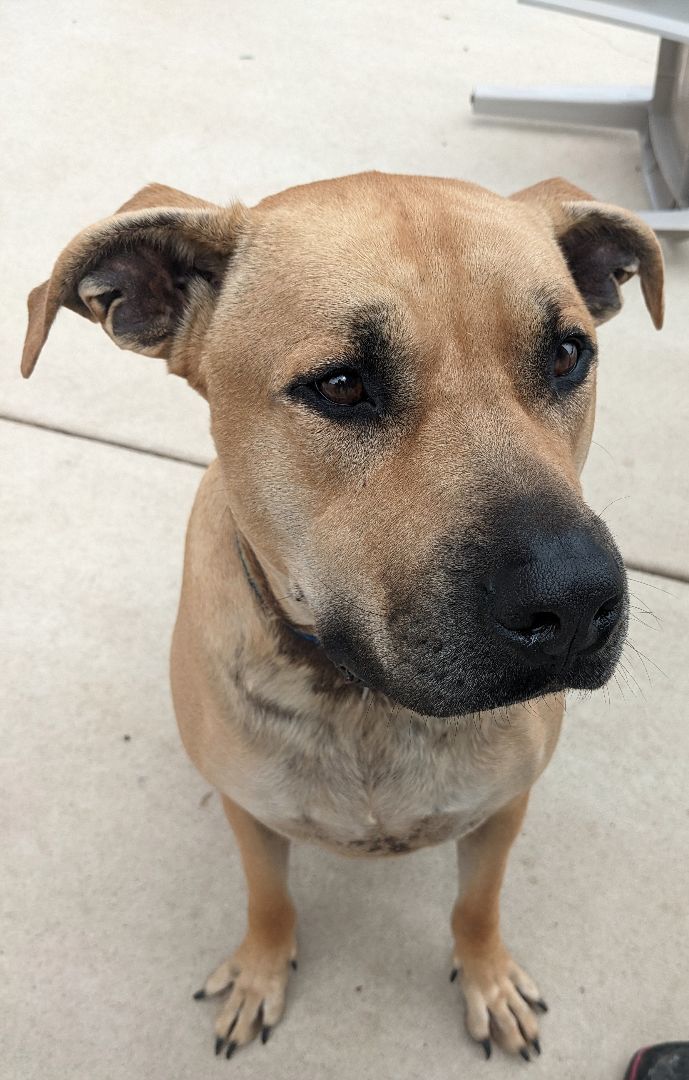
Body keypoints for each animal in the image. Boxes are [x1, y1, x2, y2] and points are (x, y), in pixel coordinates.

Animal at [21, 172, 665, 1058]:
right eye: (339, 384)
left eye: (567, 354)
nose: (572, 602)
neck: (364, 701)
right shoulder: (250, 812)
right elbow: (269, 899)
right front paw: (261, 968)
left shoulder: (502, 810)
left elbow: (476, 904)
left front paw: (487, 975)